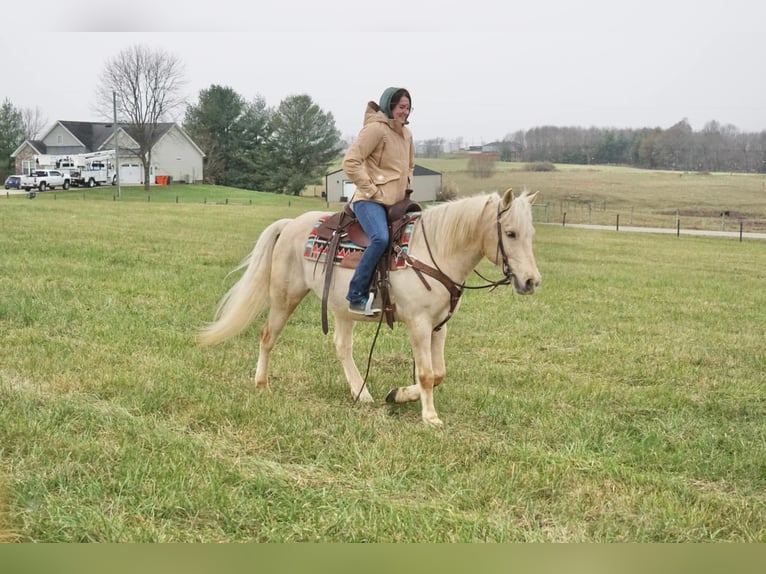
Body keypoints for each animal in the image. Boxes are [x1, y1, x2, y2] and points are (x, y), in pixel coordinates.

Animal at [201, 190, 544, 428]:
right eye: (510, 233)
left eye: (530, 235)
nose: (531, 281)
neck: (431, 252)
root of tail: (290, 225)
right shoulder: (419, 324)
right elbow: (426, 373)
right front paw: (430, 417)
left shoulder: (439, 326)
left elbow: (439, 374)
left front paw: (398, 395)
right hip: (286, 296)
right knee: (267, 335)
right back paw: (262, 384)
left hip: (341, 308)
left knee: (342, 347)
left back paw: (361, 393)